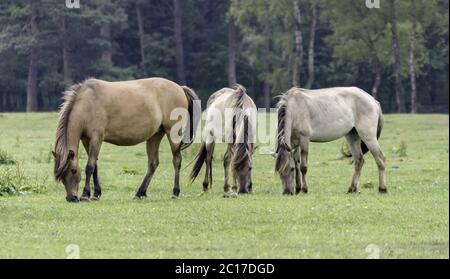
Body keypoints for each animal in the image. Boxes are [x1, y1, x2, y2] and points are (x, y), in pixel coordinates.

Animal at [52, 77, 199, 202]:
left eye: (73, 170)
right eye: (61, 175)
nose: (71, 198)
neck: (87, 103)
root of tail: (180, 88)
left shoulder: (96, 138)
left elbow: (90, 167)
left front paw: (85, 195)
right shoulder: (86, 140)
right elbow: (95, 166)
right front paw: (96, 193)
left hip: (172, 133)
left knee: (176, 161)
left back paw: (175, 192)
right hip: (155, 135)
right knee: (153, 164)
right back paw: (140, 193)